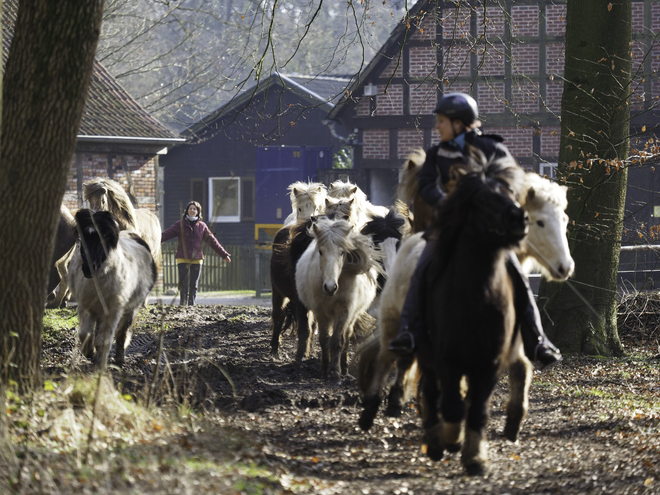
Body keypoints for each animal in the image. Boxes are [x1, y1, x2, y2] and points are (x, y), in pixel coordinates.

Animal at [68, 209, 157, 372]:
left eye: (104, 237)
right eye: (83, 237)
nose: (88, 268)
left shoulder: (112, 312)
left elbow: (105, 339)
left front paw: (101, 365)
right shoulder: (86, 308)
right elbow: (85, 334)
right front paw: (90, 353)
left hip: (130, 309)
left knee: (121, 334)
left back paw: (119, 359)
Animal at [296, 216, 384, 384]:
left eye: (342, 252)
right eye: (320, 252)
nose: (330, 288)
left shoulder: (344, 311)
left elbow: (337, 341)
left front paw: (335, 372)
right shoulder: (320, 312)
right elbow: (324, 339)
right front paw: (325, 371)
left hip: (351, 317)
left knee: (346, 338)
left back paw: (344, 370)